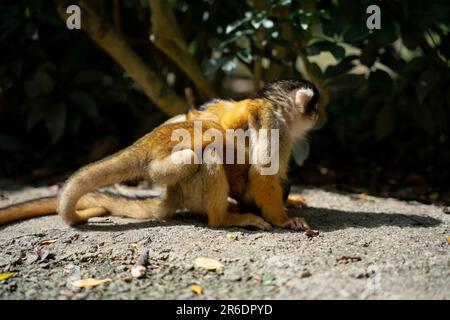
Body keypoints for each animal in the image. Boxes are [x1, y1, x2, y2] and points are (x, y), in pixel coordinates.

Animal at [0, 79, 318, 231]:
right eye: (314, 105)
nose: (317, 114)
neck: (280, 113)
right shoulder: (274, 122)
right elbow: (262, 173)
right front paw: (283, 220)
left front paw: (293, 201)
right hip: (183, 182)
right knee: (207, 151)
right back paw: (223, 218)